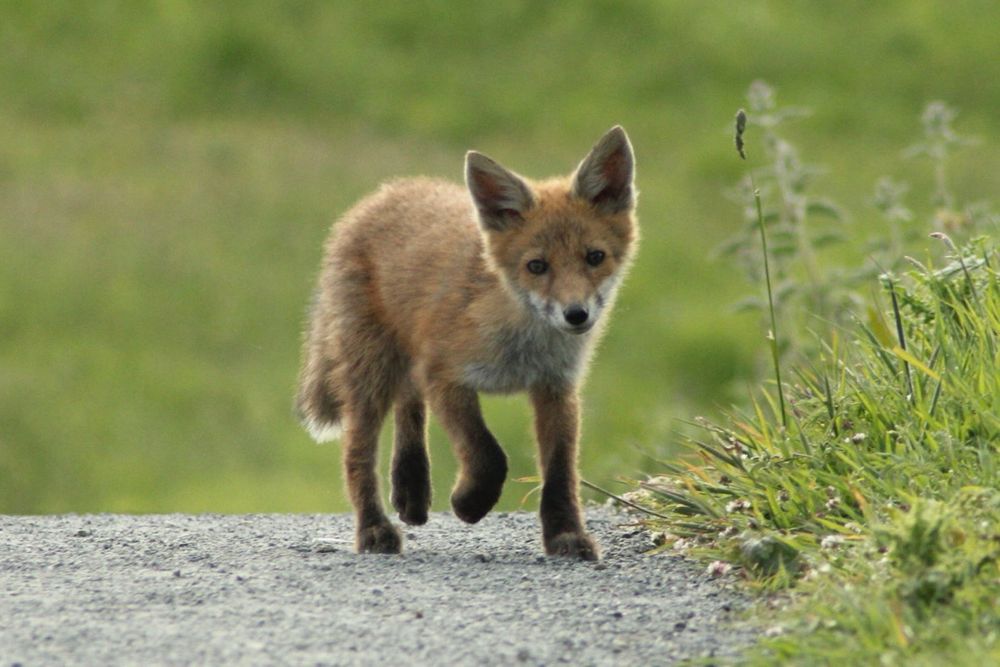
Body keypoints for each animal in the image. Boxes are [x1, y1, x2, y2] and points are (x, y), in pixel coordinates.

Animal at [296, 126, 638, 560]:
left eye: (595, 257)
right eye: (536, 266)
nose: (576, 315)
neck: (521, 348)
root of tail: (385, 192)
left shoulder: (556, 388)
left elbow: (561, 472)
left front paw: (565, 535)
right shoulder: (446, 376)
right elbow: (488, 455)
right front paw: (470, 502)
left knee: (408, 403)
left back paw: (411, 489)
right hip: (371, 373)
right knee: (358, 453)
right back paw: (374, 529)